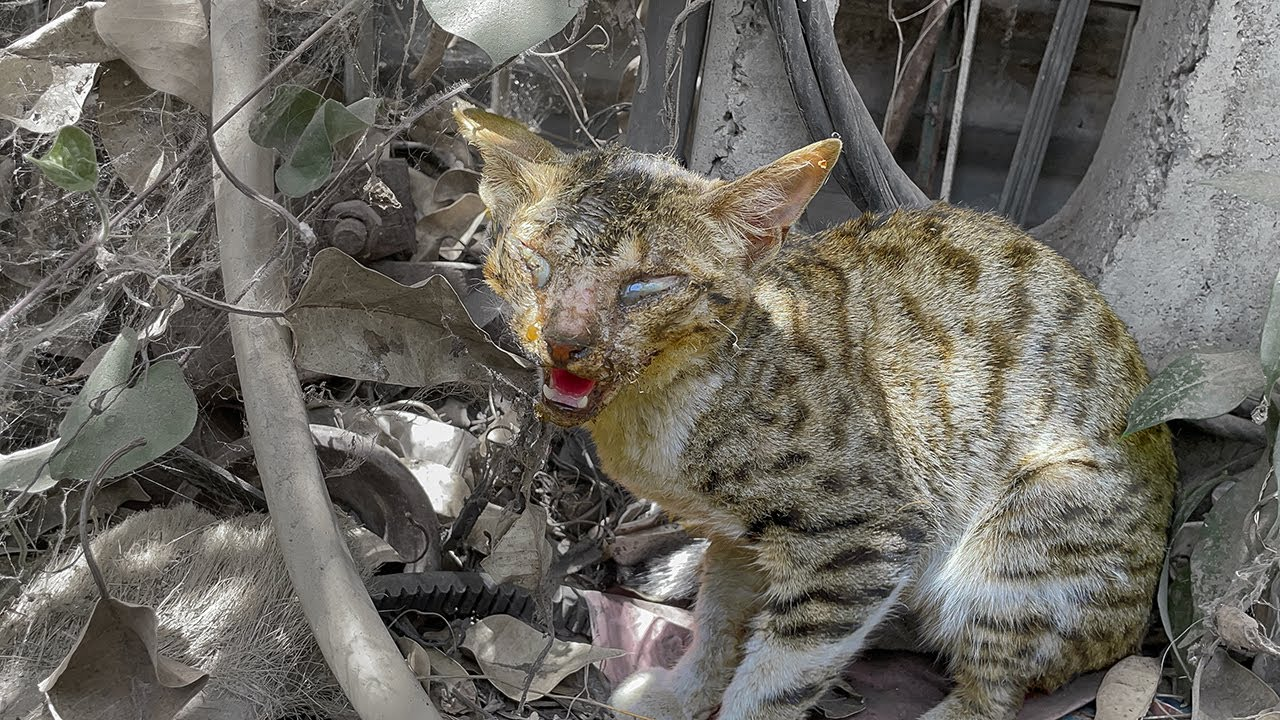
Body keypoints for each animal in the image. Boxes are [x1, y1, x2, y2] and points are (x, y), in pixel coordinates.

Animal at [453, 105, 1177, 717]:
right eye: (537, 262)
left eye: (647, 285)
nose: (564, 339)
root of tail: (1135, 630)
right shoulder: (741, 540)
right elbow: (718, 622)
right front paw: (684, 693)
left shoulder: (865, 539)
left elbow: (778, 679)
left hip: (1022, 541)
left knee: (994, 690)